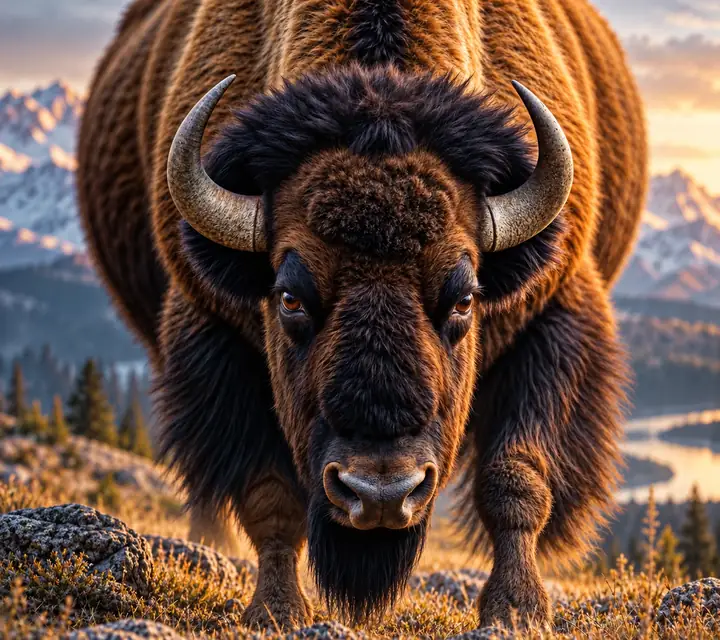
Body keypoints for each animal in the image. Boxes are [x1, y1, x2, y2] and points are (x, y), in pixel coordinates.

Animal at [77, 0, 647, 629]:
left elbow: (517, 479)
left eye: (465, 297)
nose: (380, 494)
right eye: (289, 296)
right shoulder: (215, 334)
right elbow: (269, 494)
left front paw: (517, 609)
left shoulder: (552, 317)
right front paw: (275, 610)